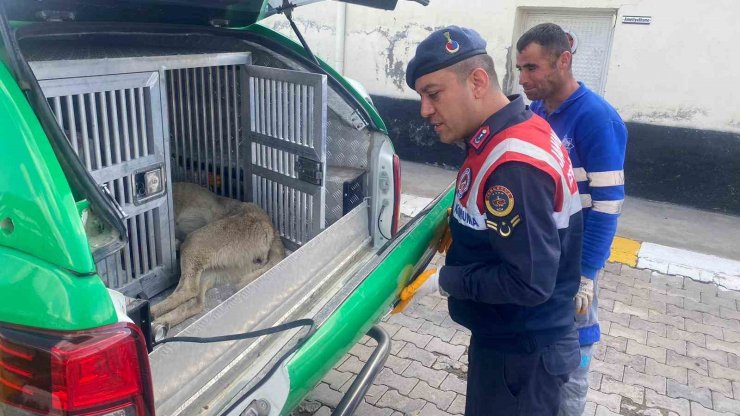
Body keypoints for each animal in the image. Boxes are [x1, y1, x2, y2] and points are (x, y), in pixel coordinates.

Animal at [152, 182, 284, 332]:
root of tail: (272, 229)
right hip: (207, 269)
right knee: (196, 303)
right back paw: (159, 323)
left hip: (194, 243)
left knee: (188, 290)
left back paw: (152, 313)